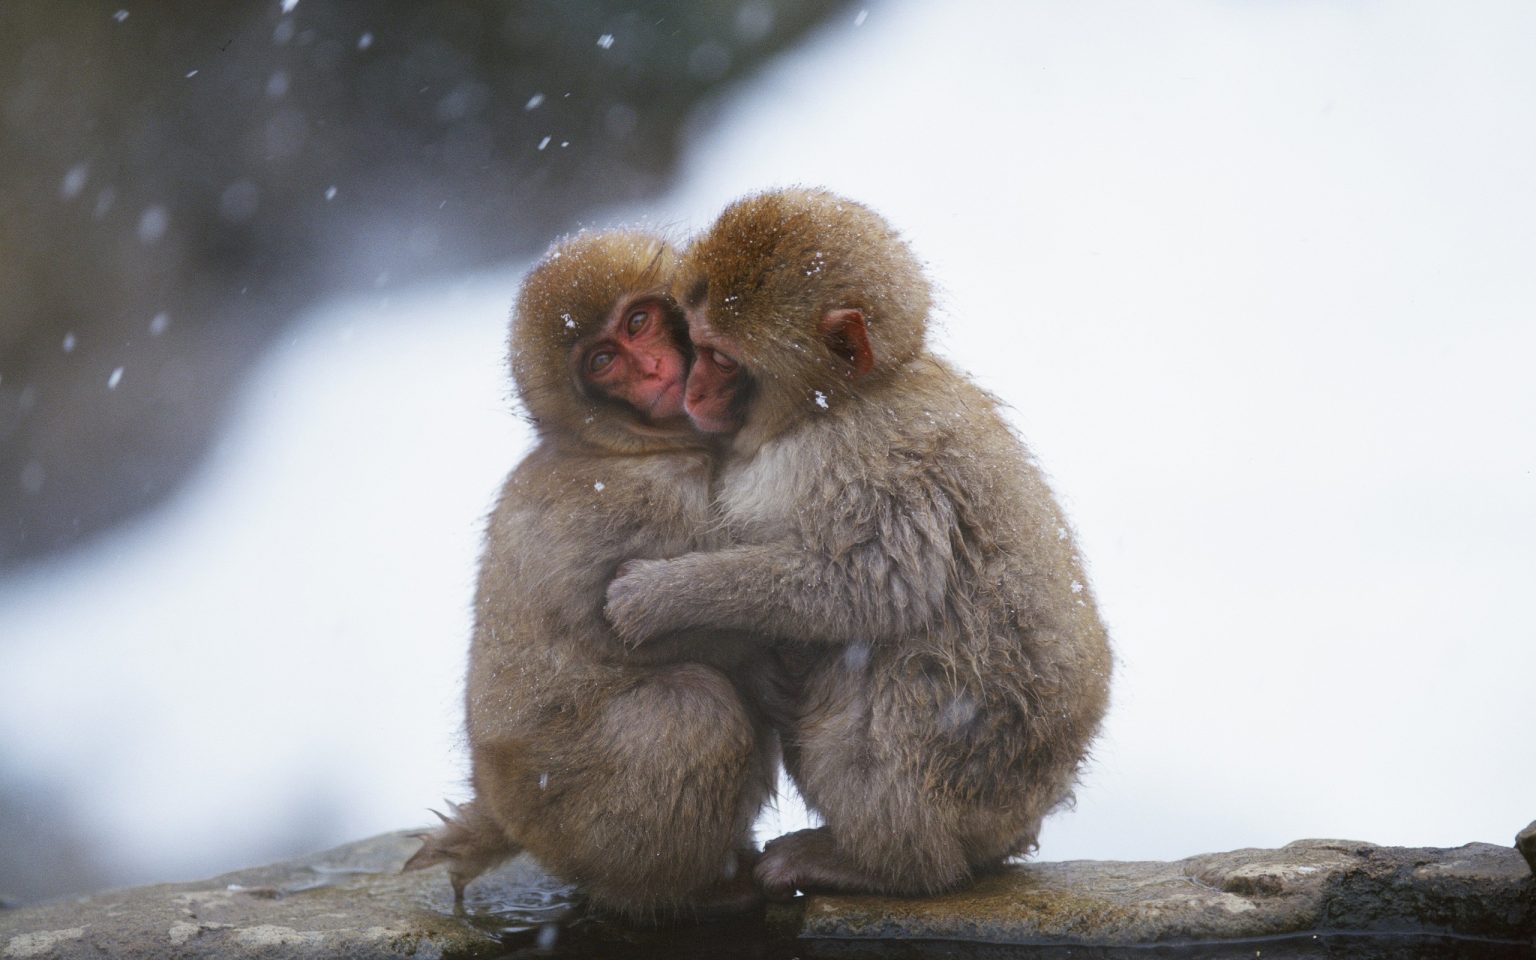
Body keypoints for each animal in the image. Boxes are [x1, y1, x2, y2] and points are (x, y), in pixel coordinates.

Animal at [405, 230, 780, 915]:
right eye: (604, 360)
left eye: (638, 322)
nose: (653, 370)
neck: (627, 445)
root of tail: (500, 806)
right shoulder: (646, 499)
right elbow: (631, 622)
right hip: (574, 813)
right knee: (694, 711)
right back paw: (692, 890)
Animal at [605, 188, 1112, 897]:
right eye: (693, 344)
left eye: (722, 358)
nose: (692, 390)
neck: (833, 406)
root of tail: (1025, 812)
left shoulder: (871, 461)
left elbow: (875, 586)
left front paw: (663, 596)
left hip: (966, 769)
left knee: (891, 679)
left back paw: (885, 864)